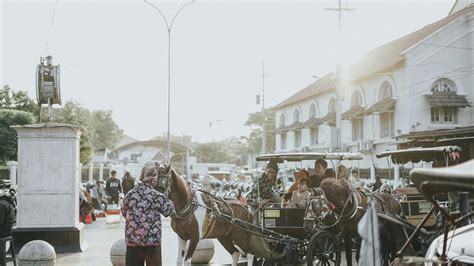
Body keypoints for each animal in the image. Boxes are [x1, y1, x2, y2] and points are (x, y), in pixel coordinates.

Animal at [154, 165, 284, 264]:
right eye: (154, 180)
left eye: (164, 181)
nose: (156, 197)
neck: (189, 206)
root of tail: (245, 208)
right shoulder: (182, 237)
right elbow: (178, 261)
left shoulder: (195, 237)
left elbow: (187, 261)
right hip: (224, 237)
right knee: (235, 254)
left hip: (240, 236)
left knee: (250, 253)